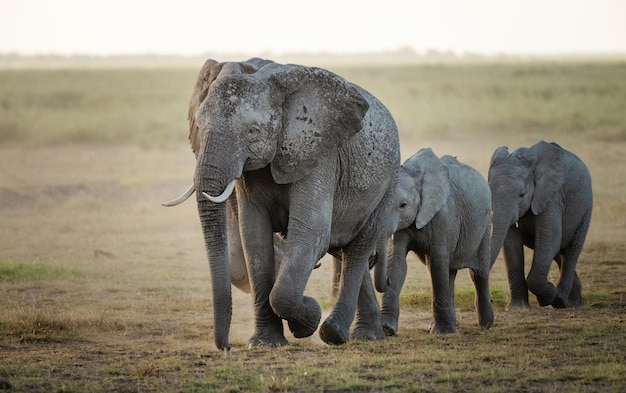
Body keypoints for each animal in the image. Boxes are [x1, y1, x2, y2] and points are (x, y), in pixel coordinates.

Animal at [163, 58, 398, 350]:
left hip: (387, 183)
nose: (227, 347)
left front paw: (307, 319)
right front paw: (265, 344)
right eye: (198, 123)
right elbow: (254, 236)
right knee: (344, 249)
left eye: (252, 132)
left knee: (358, 248)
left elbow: (310, 232)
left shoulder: (318, 153)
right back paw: (367, 334)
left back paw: (337, 333)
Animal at [378, 148, 494, 334]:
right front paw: (387, 329)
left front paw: (441, 332)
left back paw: (486, 325)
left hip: (485, 225)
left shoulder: (445, 216)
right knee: (450, 273)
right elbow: (396, 261)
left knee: (478, 274)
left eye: (403, 205)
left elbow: (437, 262)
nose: (386, 281)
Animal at [488, 141, 588, 310]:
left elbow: (549, 238)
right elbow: (511, 245)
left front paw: (549, 296)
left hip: (585, 212)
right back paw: (574, 300)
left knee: (571, 251)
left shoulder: (552, 197)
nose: (491, 300)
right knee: (557, 253)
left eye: (521, 195)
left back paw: (561, 300)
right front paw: (518, 308)